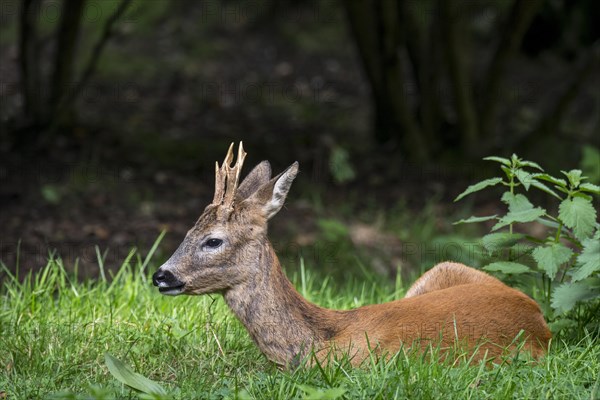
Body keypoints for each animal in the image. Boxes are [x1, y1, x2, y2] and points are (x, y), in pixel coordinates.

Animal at [152, 143, 552, 368]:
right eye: (187, 232)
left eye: (213, 240)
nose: (161, 275)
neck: (317, 343)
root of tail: (538, 317)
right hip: (441, 270)